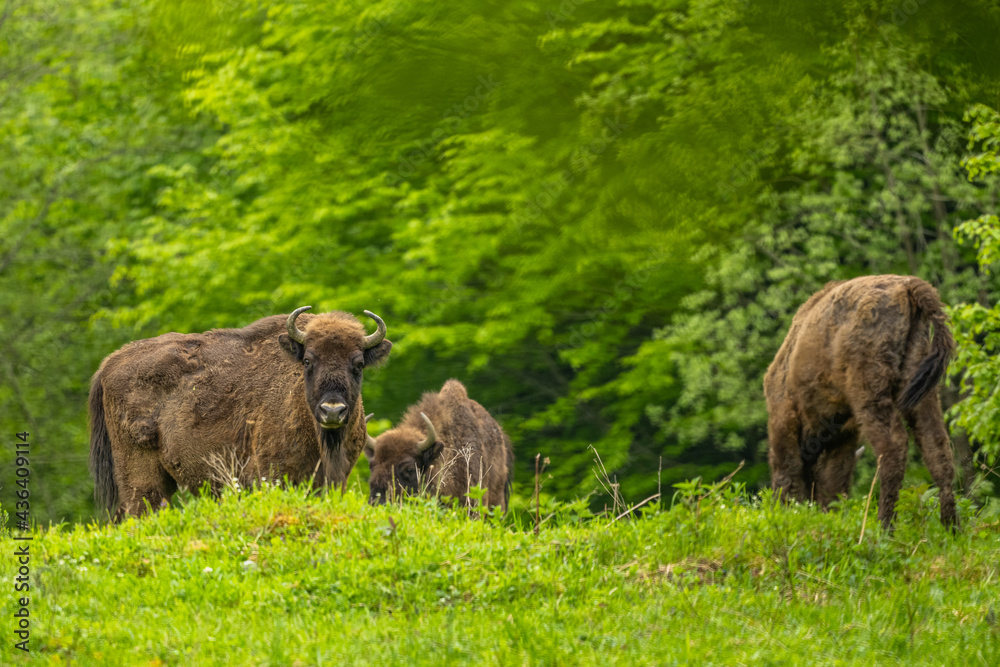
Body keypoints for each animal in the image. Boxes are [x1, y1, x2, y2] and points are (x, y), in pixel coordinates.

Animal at [88, 308, 390, 520]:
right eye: (307, 361)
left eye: (358, 364)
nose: (332, 411)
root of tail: (110, 363)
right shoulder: (271, 475)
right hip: (140, 475)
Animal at [764, 274, 960, 528]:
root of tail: (908, 286)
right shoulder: (844, 436)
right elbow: (835, 477)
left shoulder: (785, 419)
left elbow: (789, 466)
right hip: (923, 391)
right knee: (937, 448)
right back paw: (951, 527)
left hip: (871, 393)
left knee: (893, 448)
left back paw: (883, 526)